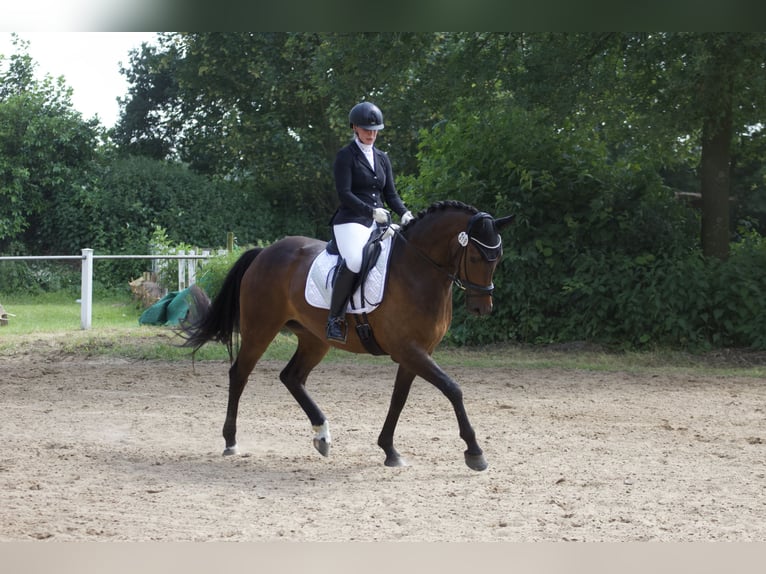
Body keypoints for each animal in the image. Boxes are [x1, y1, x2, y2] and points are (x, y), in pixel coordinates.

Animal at [181, 200, 513, 471]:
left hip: (314, 339)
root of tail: (265, 252)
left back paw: (322, 435)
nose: (482, 308)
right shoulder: (409, 350)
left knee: (292, 377)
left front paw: (389, 450)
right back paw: (231, 441)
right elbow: (452, 389)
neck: (417, 270)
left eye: (497, 258)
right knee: (239, 373)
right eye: (476, 258)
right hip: (260, 329)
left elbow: (399, 398)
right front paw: (475, 452)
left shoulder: (416, 352)